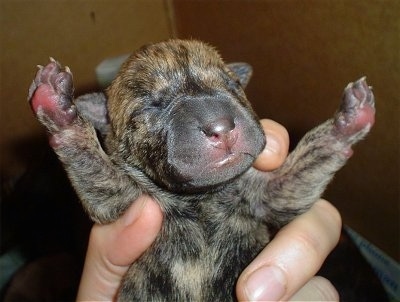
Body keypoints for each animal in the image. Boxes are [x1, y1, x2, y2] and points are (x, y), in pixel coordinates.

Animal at [28, 39, 376, 300]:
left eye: (233, 85)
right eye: (152, 106)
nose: (220, 127)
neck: (201, 201)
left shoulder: (267, 196)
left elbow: (306, 164)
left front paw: (347, 121)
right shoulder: (120, 199)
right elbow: (94, 168)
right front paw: (59, 111)